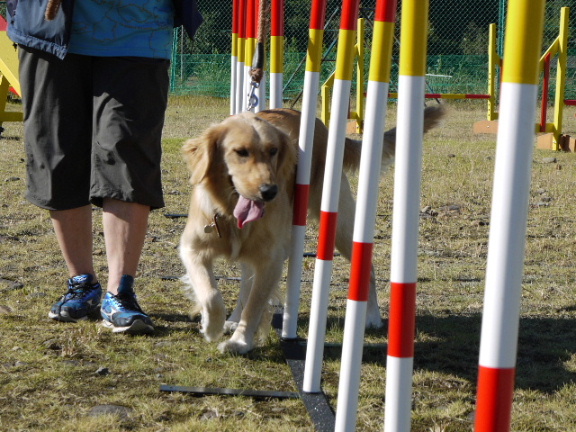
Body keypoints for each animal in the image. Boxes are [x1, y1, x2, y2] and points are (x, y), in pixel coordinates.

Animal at [180, 106, 446, 352]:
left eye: (273, 151)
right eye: (241, 152)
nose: (270, 192)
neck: (231, 212)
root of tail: (321, 125)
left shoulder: (271, 260)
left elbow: (255, 305)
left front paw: (240, 343)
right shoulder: (192, 249)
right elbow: (211, 294)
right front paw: (212, 326)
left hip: (340, 225)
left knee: (367, 267)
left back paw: (371, 316)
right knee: (245, 282)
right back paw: (233, 319)